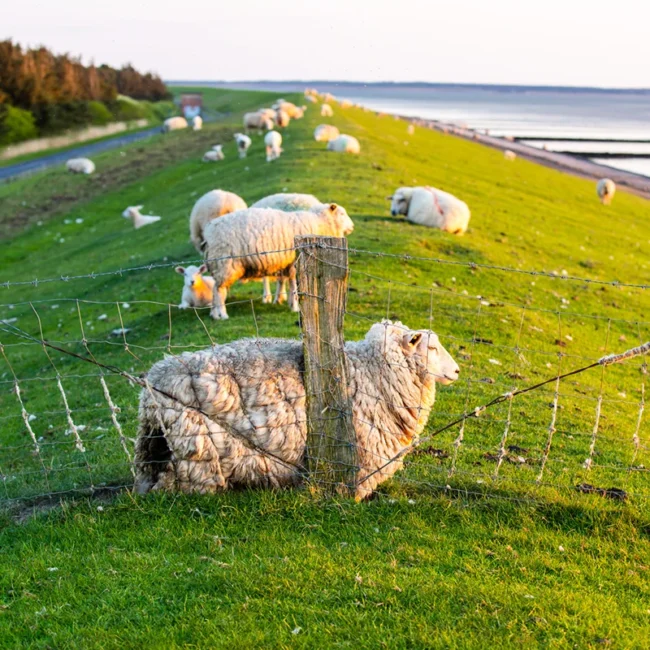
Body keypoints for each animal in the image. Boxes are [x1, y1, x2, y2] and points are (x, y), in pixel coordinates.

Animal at [134, 319, 460, 500]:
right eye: (431, 348)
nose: (457, 371)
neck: (370, 370)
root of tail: (153, 381)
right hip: (196, 452)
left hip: (156, 445)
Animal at [203, 203, 354, 319]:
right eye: (342, 214)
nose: (352, 227)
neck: (319, 223)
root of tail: (209, 231)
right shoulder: (294, 263)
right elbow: (294, 286)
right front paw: (295, 307)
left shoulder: (286, 264)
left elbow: (285, 282)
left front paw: (286, 302)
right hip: (225, 263)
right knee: (219, 291)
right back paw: (222, 314)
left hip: (219, 265)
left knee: (215, 290)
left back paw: (214, 314)